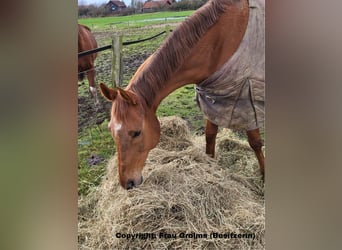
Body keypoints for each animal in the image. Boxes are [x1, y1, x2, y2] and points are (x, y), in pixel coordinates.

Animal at [100, 0, 266, 188]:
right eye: (111, 130)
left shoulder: (246, 100)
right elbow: (210, 136)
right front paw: (212, 166)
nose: (127, 183)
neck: (219, 43)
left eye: (136, 132)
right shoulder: (214, 100)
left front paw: (264, 177)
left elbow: (255, 142)